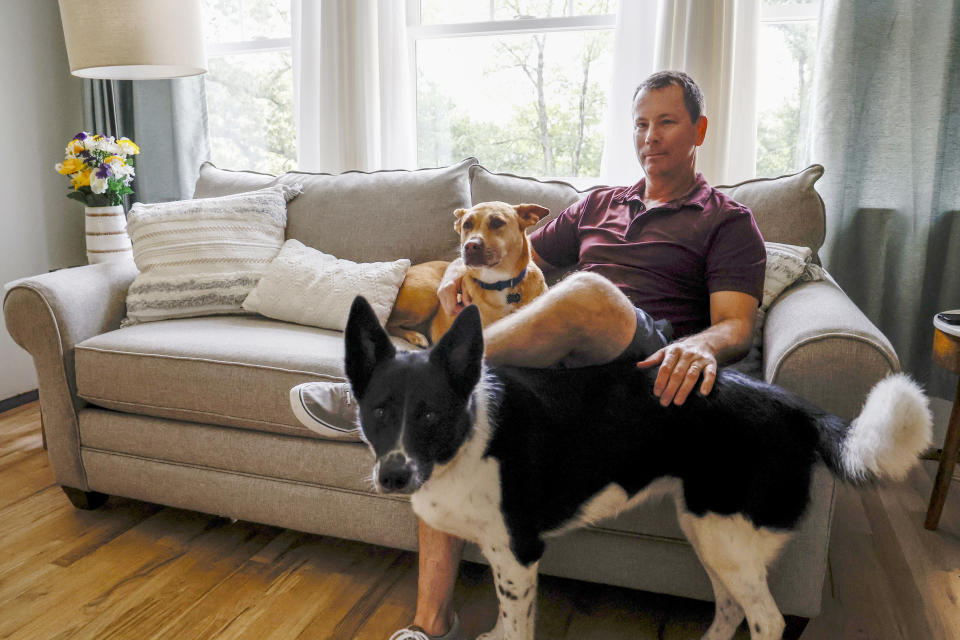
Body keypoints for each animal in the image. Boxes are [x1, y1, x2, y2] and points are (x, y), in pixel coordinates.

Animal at [344, 298, 928, 636]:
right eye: (379, 412)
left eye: (430, 414)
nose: (393, 477)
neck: (467, 437)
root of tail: (795, 407)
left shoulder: (517, 555)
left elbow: (515, 627)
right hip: (707, 529)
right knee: (731, 607)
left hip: (725, 532)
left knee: (767, 619)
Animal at [382, 202, 548, 348]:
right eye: (467, 225)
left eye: (497, 222)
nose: (470, 245)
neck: (499, 281)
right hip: (428, 293)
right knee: (388, 323)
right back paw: (416, 336)